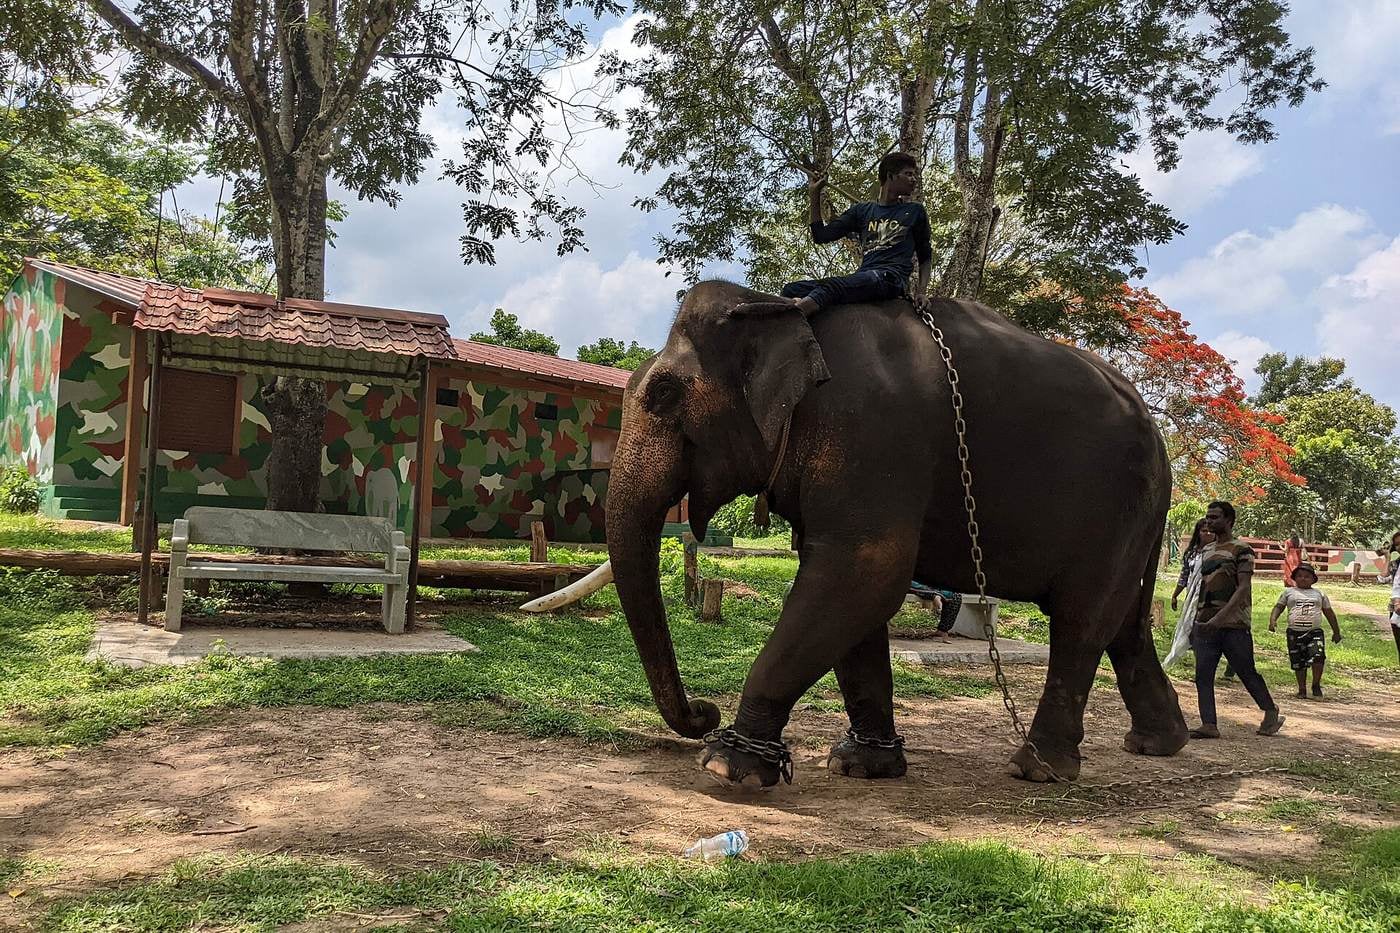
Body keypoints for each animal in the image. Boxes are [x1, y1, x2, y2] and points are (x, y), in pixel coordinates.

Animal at [535, 280, 1188, 786]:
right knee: (1124, 620)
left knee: (1082, 619)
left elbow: (861, 572)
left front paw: (727, 767)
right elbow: (852, 595)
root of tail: (1163, 444)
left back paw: (1038, 768)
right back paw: (1160, 743)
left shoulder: (871, 431)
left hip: (1117, 505)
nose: (702, 710)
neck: (781, 311)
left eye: (665, 394)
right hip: (1137, 516)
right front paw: (860, 765)